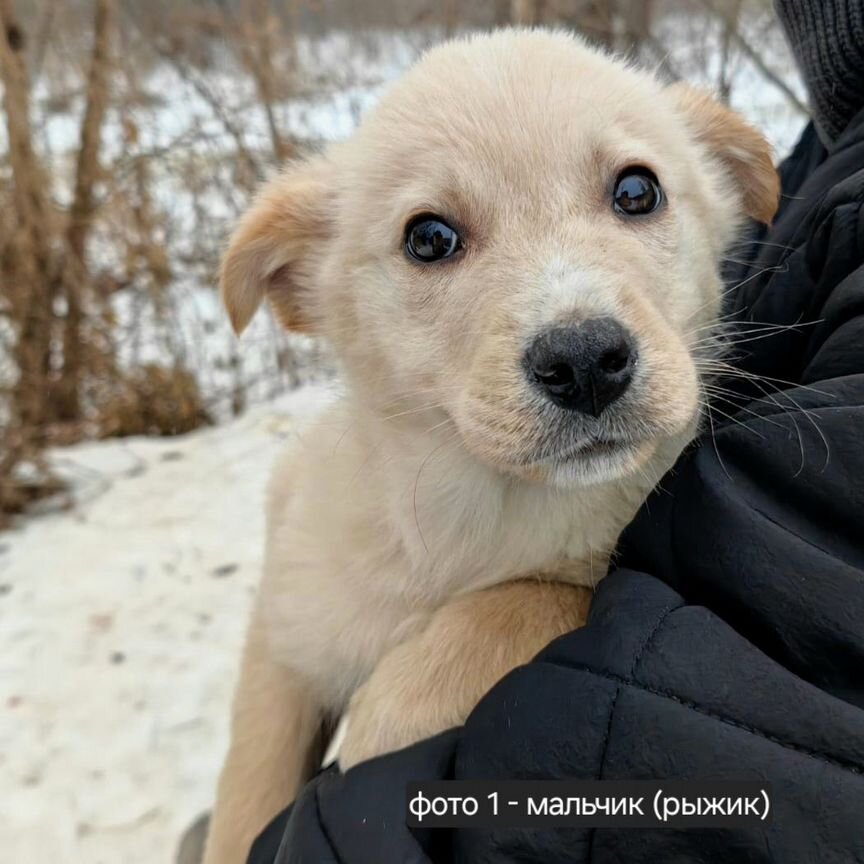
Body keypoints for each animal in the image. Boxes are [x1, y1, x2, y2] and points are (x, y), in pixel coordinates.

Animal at [201, 28, 776, 864]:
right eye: (429, 237)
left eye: (638, 192)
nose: (585, 361)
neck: (474, 509)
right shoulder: (284, 626)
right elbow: (251, 780)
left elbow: (523, 603)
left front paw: (383, 721)